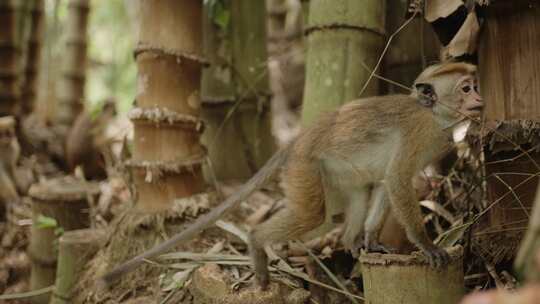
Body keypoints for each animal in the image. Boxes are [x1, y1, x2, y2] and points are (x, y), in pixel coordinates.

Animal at [101, 62, 480, 290]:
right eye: (465, 88)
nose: (480, 97)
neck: (435, 116)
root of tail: (296, 141)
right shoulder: (418, 134)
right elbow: (399, 178)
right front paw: (428, 245)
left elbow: (390, 179)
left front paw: (373, 239)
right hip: (305, 168)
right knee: (313, 214)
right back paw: (257, 243)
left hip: (334, 172)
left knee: (359, 192)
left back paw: (352, 241)